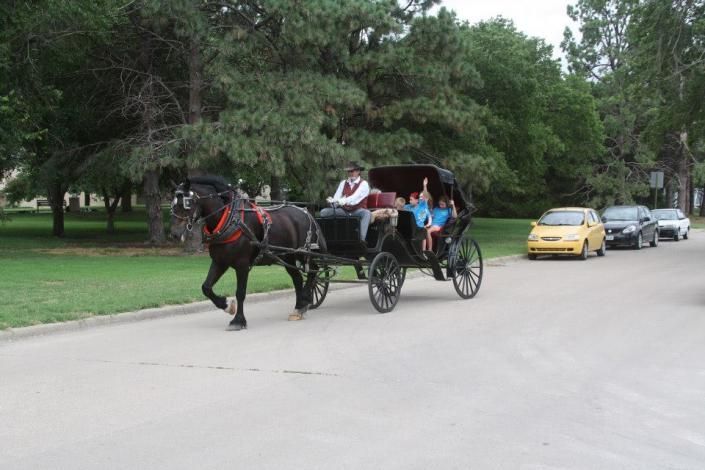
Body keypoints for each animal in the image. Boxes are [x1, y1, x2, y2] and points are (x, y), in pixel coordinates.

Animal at [170, 176, 327, 330]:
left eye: (186, 204)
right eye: (173, 205)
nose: (175, 234)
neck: (231, 220)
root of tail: (307, 213)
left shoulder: (242, 265)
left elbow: (240, 293)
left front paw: (238, 320)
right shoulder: (220, 262)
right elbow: (206, 287)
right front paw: (226, 305)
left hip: (302, 253)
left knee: (313, 272)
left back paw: (305, 299)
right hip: (287, 257)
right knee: (298, 278)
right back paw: (298, 308)